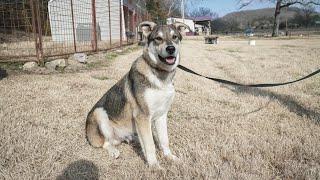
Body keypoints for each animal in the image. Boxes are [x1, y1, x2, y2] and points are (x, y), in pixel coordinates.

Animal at [86, 21, 189, 167]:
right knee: (105, 143)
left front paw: (170, 157)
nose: (171, 49)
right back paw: (114, 151)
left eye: (175, 37)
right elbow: (150, 145)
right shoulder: (143, 116)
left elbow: (164, 140)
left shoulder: (161, 115)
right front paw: (154, 166)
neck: (160, 76)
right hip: (99, 113)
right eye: (158, 38)